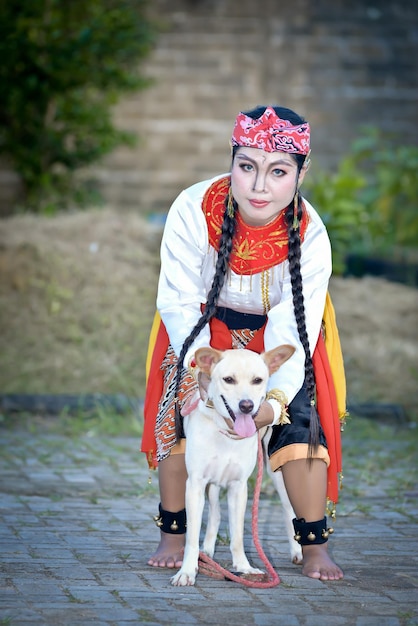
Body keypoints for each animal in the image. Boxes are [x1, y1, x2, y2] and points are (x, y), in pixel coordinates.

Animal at [171, 346, 302, 584]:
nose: (246, 406)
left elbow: (238, 536)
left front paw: (244, 567)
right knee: (214, 514)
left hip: (276, 473)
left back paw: (297, 551)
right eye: (228, 379)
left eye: (257, 380)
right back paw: (206, 551)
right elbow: (192, 537)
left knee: (289, 508)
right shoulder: (195, 484)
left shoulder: (238, 487)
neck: (225, 431)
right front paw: (186, 571)